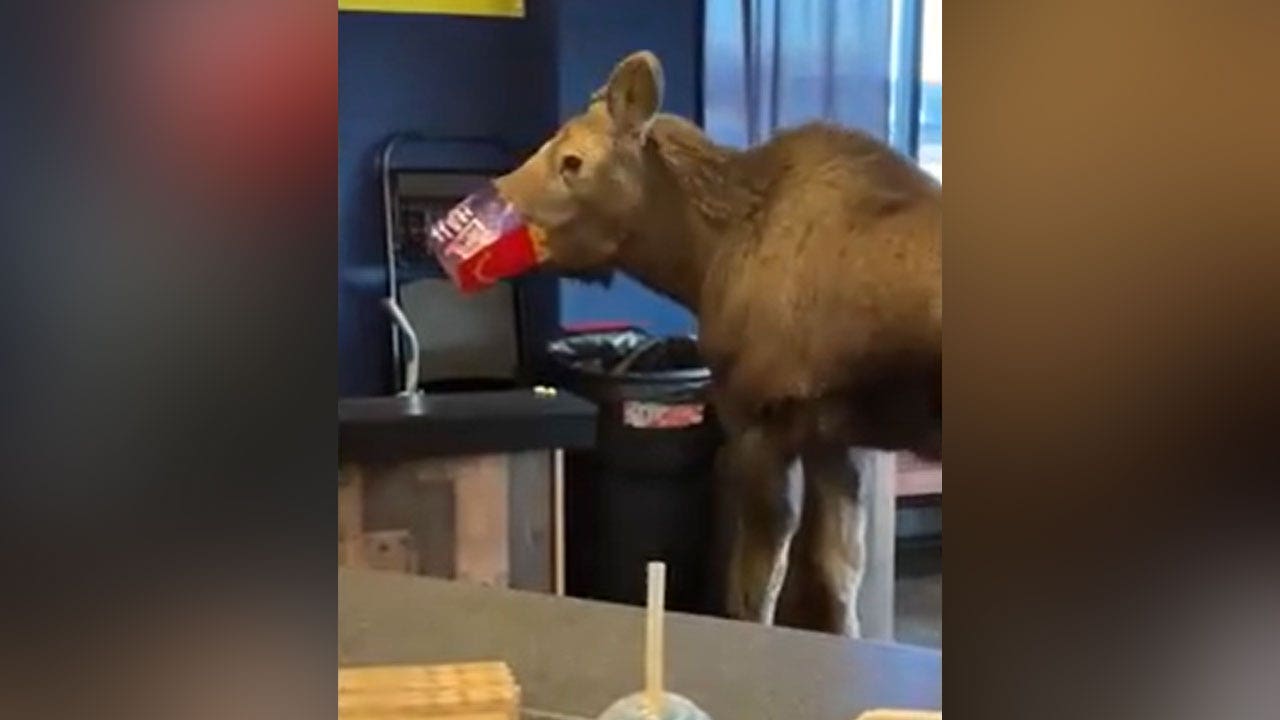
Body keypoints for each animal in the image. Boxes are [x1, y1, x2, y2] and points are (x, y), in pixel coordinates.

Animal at [496, 51, 940, 637]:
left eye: (572, 160)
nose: (491, 198)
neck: (700, 260)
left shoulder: (759, 419)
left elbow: (754, 591)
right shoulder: (831, 436)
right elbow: (838, 581)